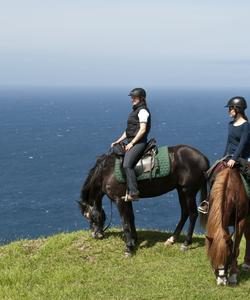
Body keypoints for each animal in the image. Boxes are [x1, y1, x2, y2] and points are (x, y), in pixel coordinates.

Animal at [78, 145, 209, 255]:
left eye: (89, 216)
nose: (96, 235)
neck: (107, 172)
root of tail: (203, 158)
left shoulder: (119, 200)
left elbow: (125, 222)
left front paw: (129, 248)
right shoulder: (127, 199)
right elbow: (131, 218)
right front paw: (134, 240)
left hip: (189, 191)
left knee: (193, 214)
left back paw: (186, 243)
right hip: (181, 190)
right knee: (184, 212)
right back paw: (172, 239)